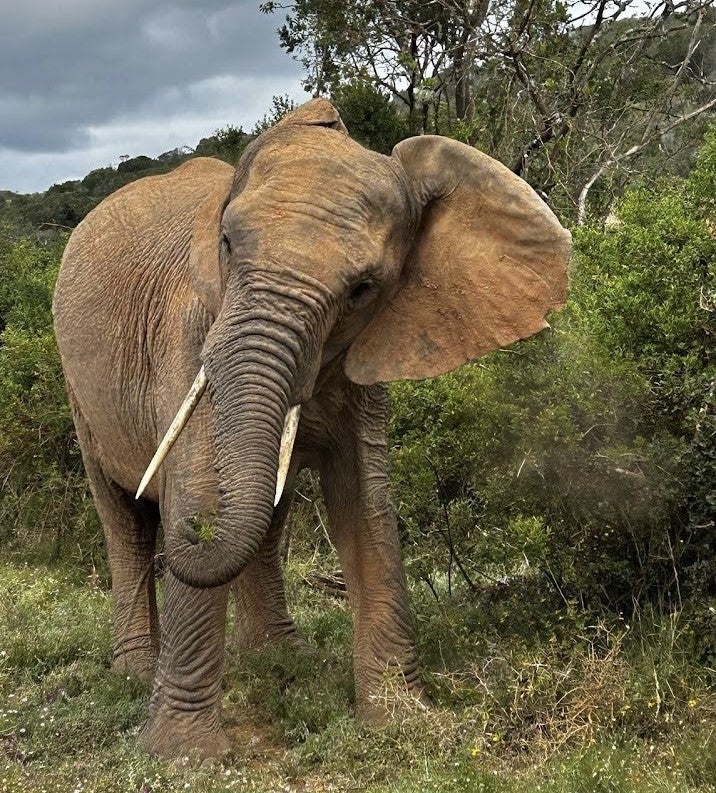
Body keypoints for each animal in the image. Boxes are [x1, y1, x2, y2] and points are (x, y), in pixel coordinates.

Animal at [51, 99, 572, 760]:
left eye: (362, 289)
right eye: (227, 244)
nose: (192, 535)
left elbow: (365, 502)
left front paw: (401, 725)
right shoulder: (189, 336)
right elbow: (199, 488)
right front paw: (180, 757)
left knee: (263, 519)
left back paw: (278, 659)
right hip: (79, 390)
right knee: (124, 522)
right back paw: (138, 672)